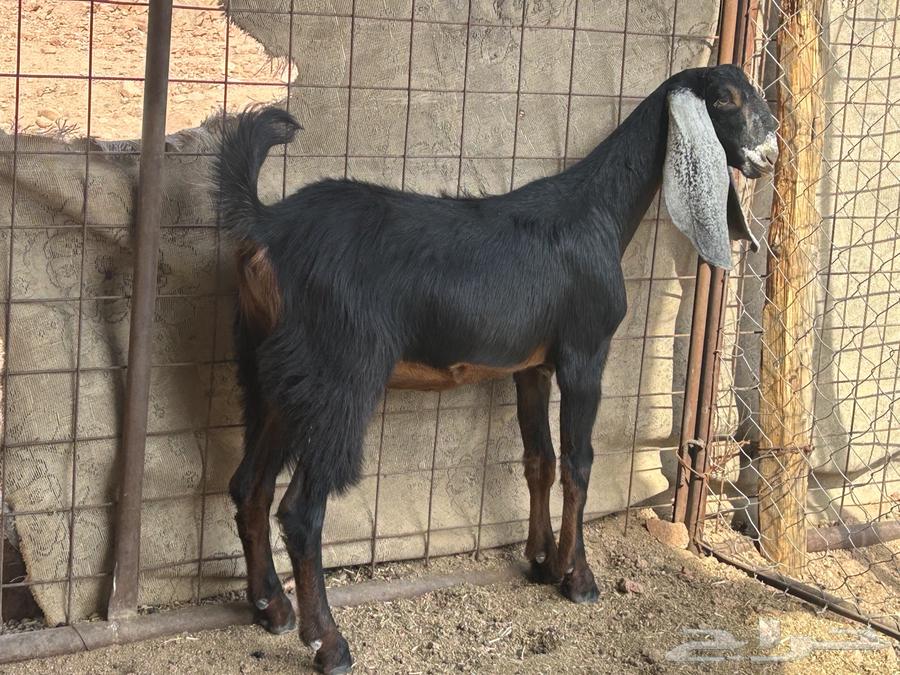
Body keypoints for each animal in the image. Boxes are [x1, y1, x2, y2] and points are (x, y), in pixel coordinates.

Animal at [213, 64, 777, 673]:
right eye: (725, 98)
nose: (770, 152)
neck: (596, 212)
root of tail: (267, 227)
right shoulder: (584, 351)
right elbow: (578, 463)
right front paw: (578, 578)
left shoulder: (531, 366)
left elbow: (540, 460)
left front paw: (541, 561)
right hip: (339, 373)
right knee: (299, 510)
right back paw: (328, 642)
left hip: (269, 370)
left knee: (249, 485)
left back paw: (271, 608)